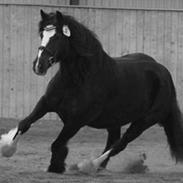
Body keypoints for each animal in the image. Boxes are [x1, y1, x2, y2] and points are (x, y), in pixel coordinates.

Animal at [16, 10, 183, 173]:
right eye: (42, 35)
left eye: (57, 36)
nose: (39, 65)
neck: (78, 79)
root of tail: (164, 73)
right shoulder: (46, 103)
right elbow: (24, 124)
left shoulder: (77, 121)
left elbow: (57, 144)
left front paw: (56, 166)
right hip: (115, 119)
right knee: (113, 140)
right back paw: (99, 167)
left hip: (144, 121)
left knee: (119, 144)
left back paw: (89, 165)